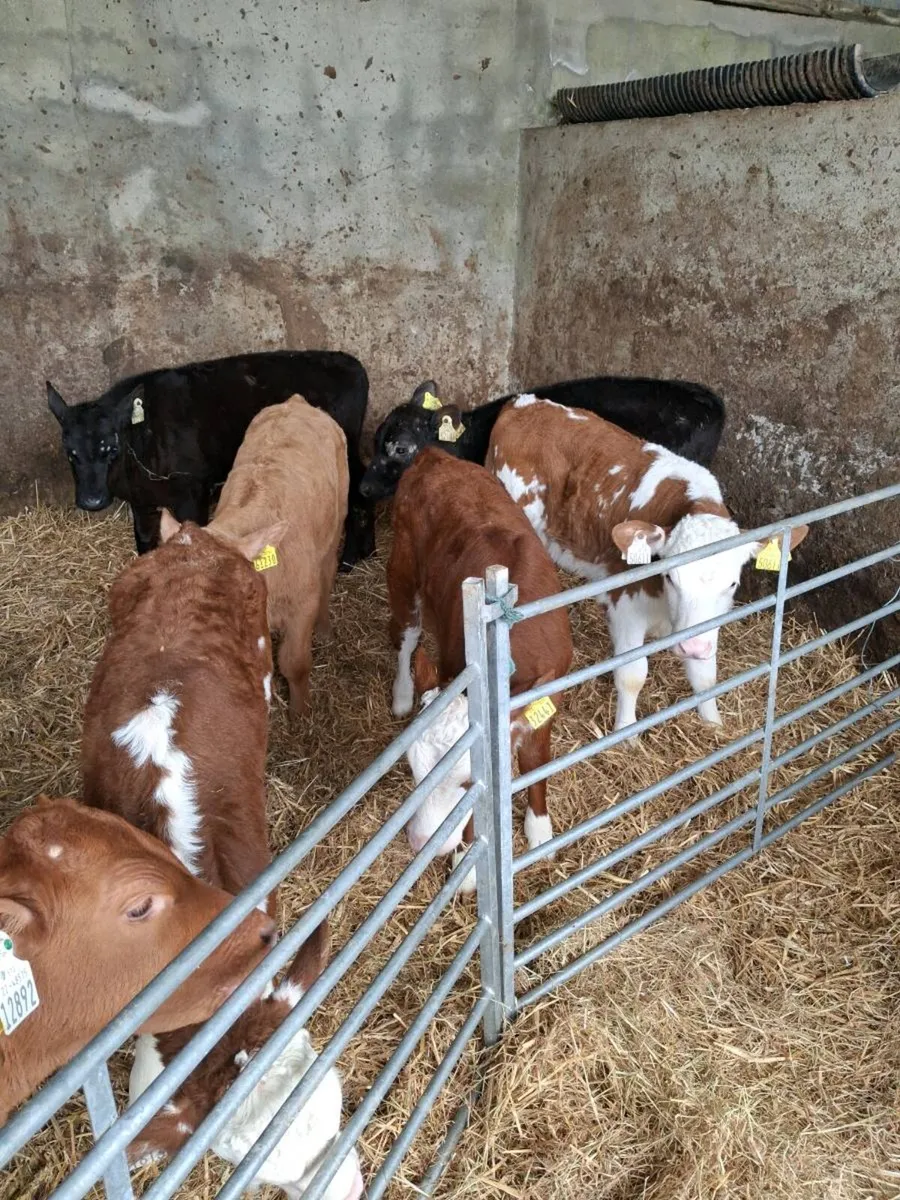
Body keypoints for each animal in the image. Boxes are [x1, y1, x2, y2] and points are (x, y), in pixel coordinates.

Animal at [46, 350, 374, 569]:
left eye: (110, 448)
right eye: (70, 452)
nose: (92, 500)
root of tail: (350, 362)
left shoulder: (193, 494)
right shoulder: (140, 501)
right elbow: (144, 542)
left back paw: (348, 560)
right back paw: (367, 550)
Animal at [206, 395, 348, 715]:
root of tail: (296, 402)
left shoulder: (301, 606)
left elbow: (295, 663)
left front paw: (301, 712)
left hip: (336, 524)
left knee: (328, 572)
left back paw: (325, 629)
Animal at [388, 448, 573, 886]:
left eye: (466, 781)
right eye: (412, 769)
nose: (419, 842)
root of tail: (433, 455)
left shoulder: (547, 700)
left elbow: (536, 762)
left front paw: (539, 828)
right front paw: (467, 865)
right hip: (402, 570)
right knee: (406, 637)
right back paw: (402, 694)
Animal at [489, 395, 808, 732]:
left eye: (732, 583)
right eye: (670, 577)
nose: (692, 648)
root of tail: (523, 402)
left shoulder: (706, 624)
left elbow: (705, 676)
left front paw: (713, 723)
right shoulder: (627, 607)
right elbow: (632, 675)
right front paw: (626, 732)